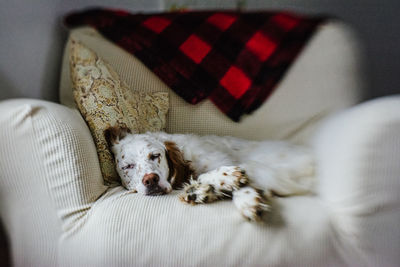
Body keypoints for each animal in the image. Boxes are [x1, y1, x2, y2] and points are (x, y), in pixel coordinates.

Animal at [106, 127, 316, 222]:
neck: (186, 154)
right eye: (128, 166)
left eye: (155, 155)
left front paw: (244, 196)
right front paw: (200, 191)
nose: (150, 180)